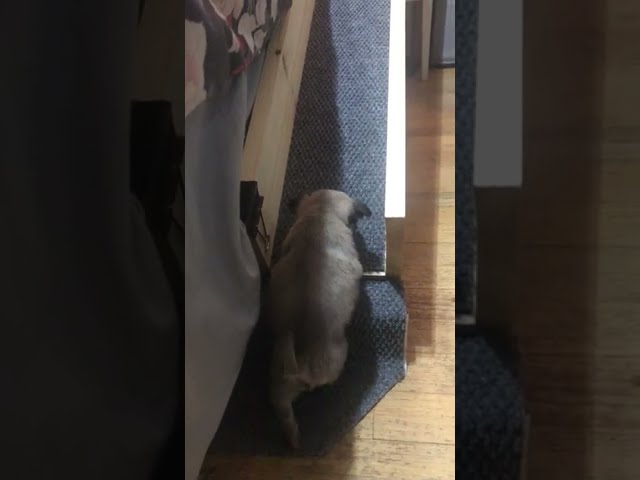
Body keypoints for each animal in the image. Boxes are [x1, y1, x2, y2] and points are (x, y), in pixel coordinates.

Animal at [266, 189, 371, 449]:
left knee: (284, 412)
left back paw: (293, 439)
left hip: (279, 384)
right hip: (339, 353)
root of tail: (299, 363)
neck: (321, 214)